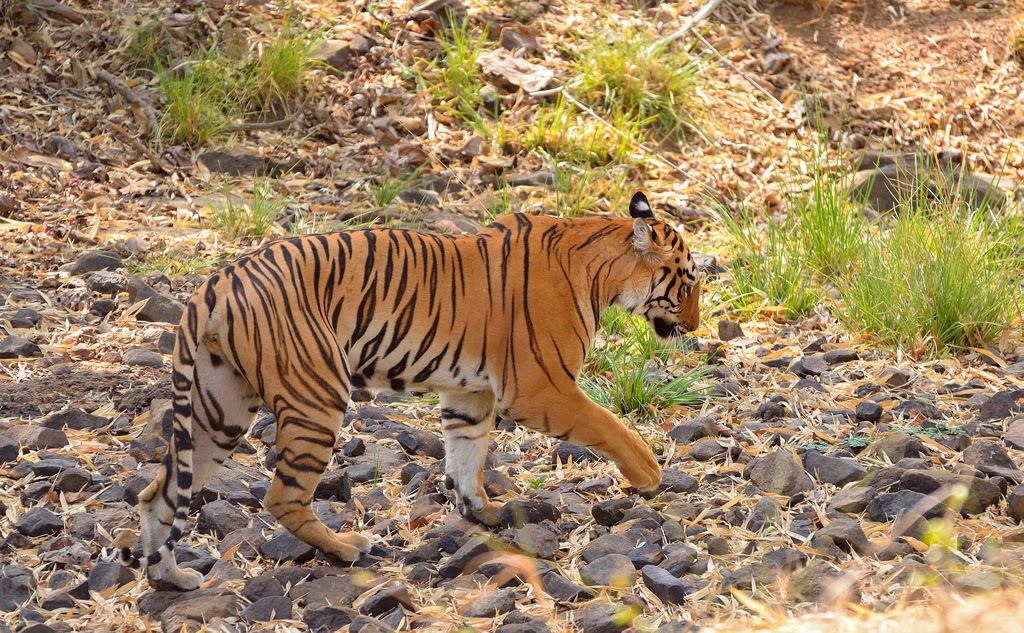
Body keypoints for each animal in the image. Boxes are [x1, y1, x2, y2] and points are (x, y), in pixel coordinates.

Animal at [117, 189, 696, 589]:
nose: (695, 324)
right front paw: (650, 475)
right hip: (315, 397)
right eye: (688, 281)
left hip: (220, 410)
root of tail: (212, 286)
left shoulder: (471, 395)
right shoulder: (541, 388)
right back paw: (346, 549)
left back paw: (170, 578)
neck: (601, 262)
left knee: (157, 495)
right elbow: (611, 426)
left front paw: (481, 511)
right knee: (282, 496)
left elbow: (466, 455)